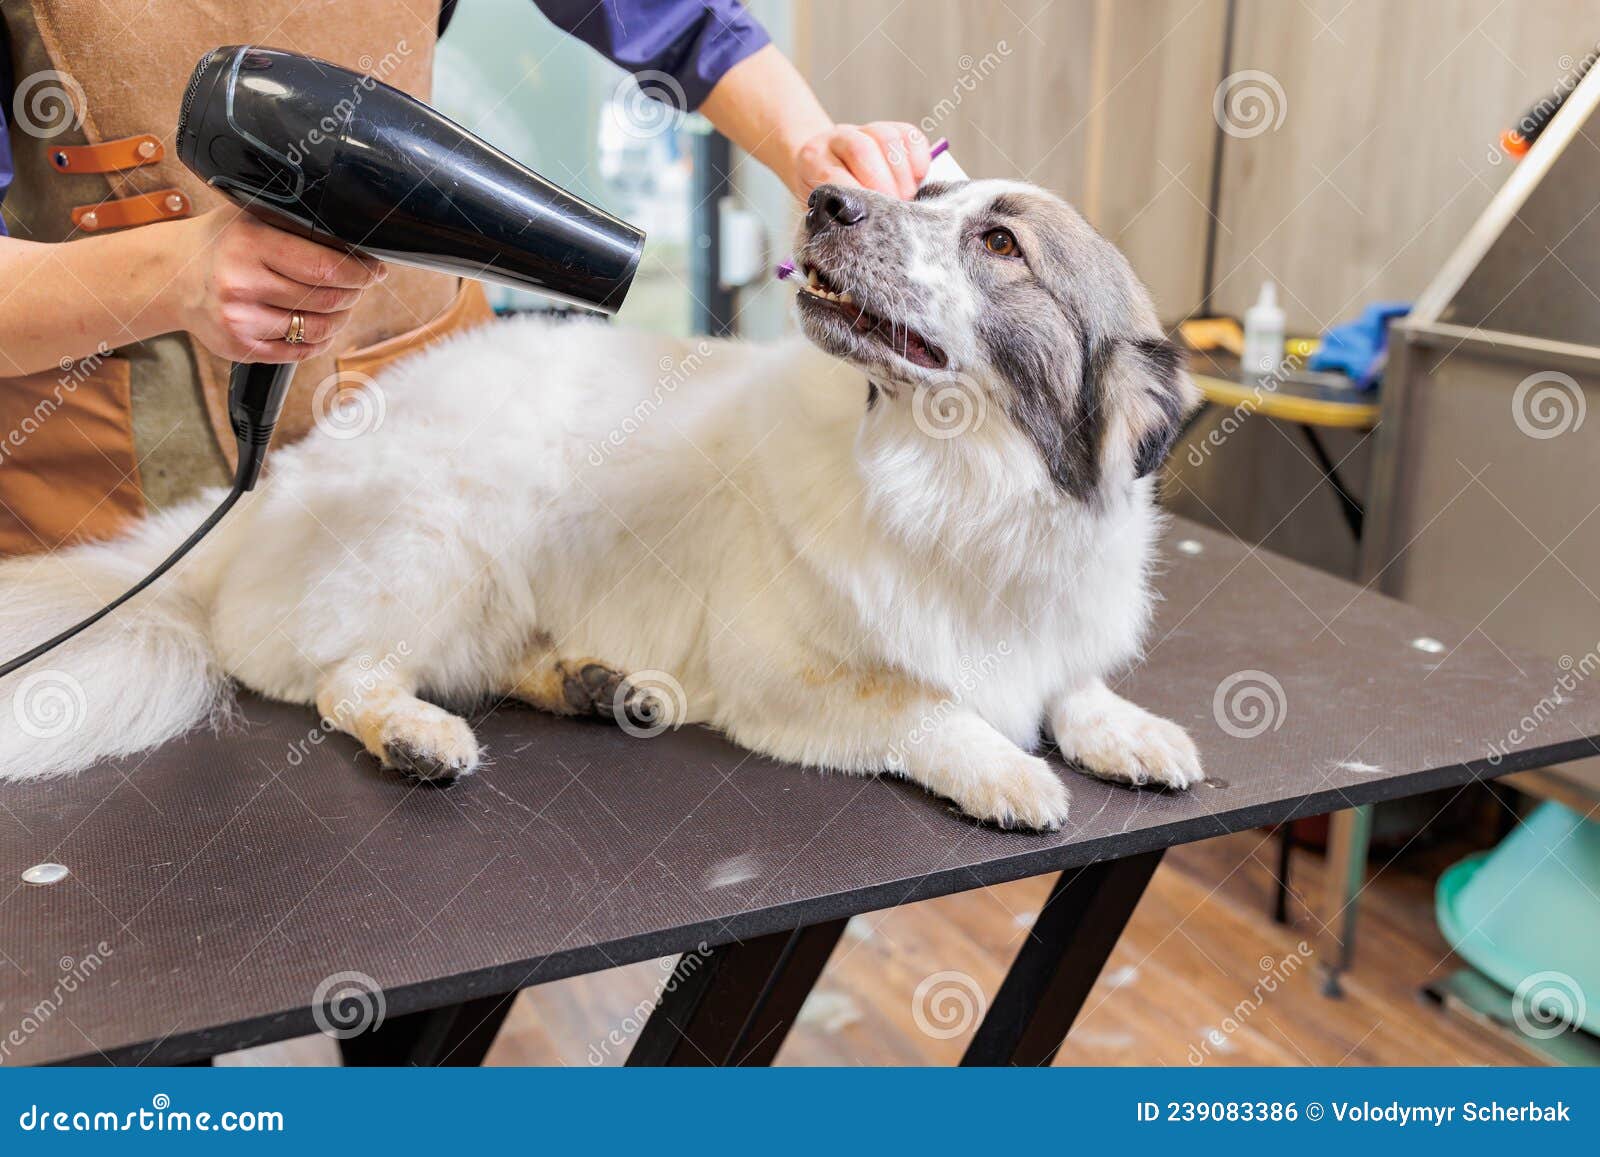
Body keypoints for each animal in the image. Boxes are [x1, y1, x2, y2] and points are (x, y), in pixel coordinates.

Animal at [0, 178, 1203, 832]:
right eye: (926, 201)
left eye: (998, 241)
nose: (828, 198)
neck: (952, 490)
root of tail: (255, 498)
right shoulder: (788, 672)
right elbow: (928, 704)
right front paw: (1005, 766)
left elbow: (1070, 684)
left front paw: (1128, 728)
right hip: (446, 537)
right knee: (350, 681)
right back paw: (420, 735)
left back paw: (591, 681)